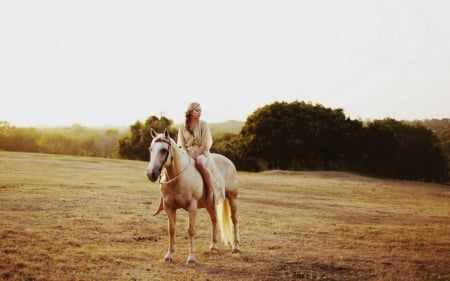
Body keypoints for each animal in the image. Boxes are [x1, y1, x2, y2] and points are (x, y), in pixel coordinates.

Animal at [147, 128, 239, 264]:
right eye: (151, 149)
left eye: (163, 150)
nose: (151, 173)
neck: (178, 178)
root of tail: (229, 162)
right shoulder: (169, 207)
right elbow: (171, 230)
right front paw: (169, 255)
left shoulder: (192, 207)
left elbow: (191, 230)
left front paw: (191, 258)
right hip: (209, 204)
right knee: (214, 220)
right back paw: (213, 245)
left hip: (232, 198)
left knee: (234, 220)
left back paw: (236, 247)